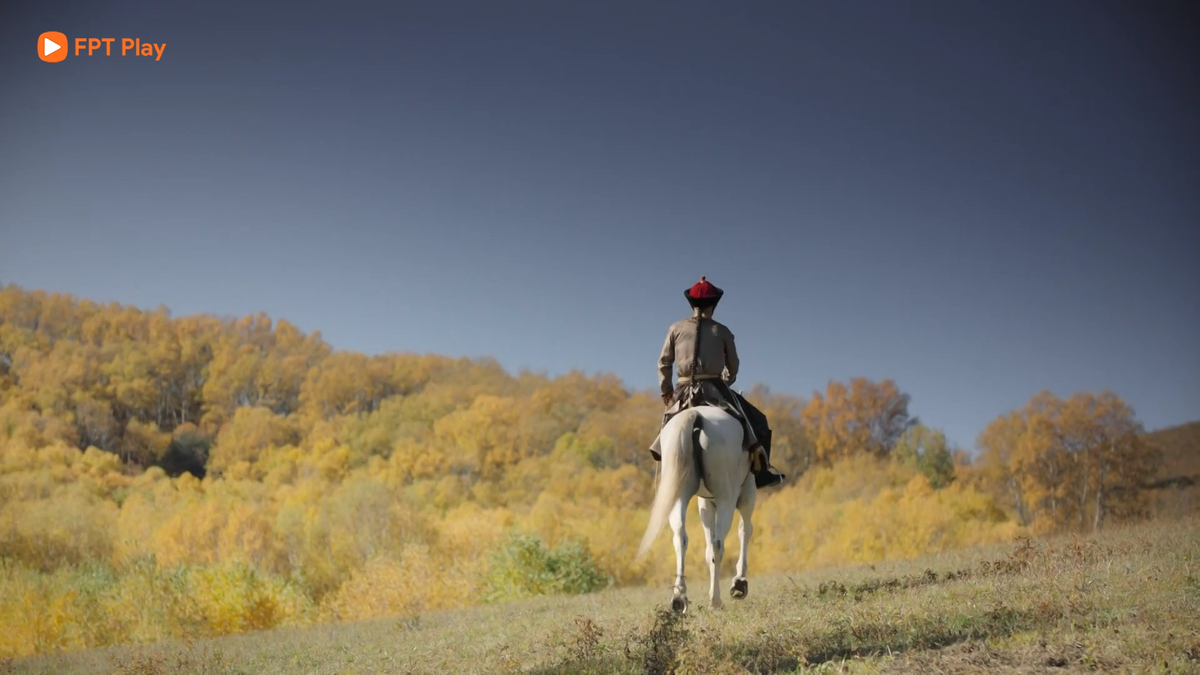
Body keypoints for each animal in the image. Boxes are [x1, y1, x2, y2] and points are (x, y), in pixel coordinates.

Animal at [638, 401, 748, 612]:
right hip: (726, 497)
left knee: (681, 538)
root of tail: (696, 415)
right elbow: (744, 531)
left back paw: (679, 598)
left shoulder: (705, 502)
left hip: (679, 493)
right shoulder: (748, 492)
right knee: (718, 544)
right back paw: (715, 600)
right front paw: (739, 582)